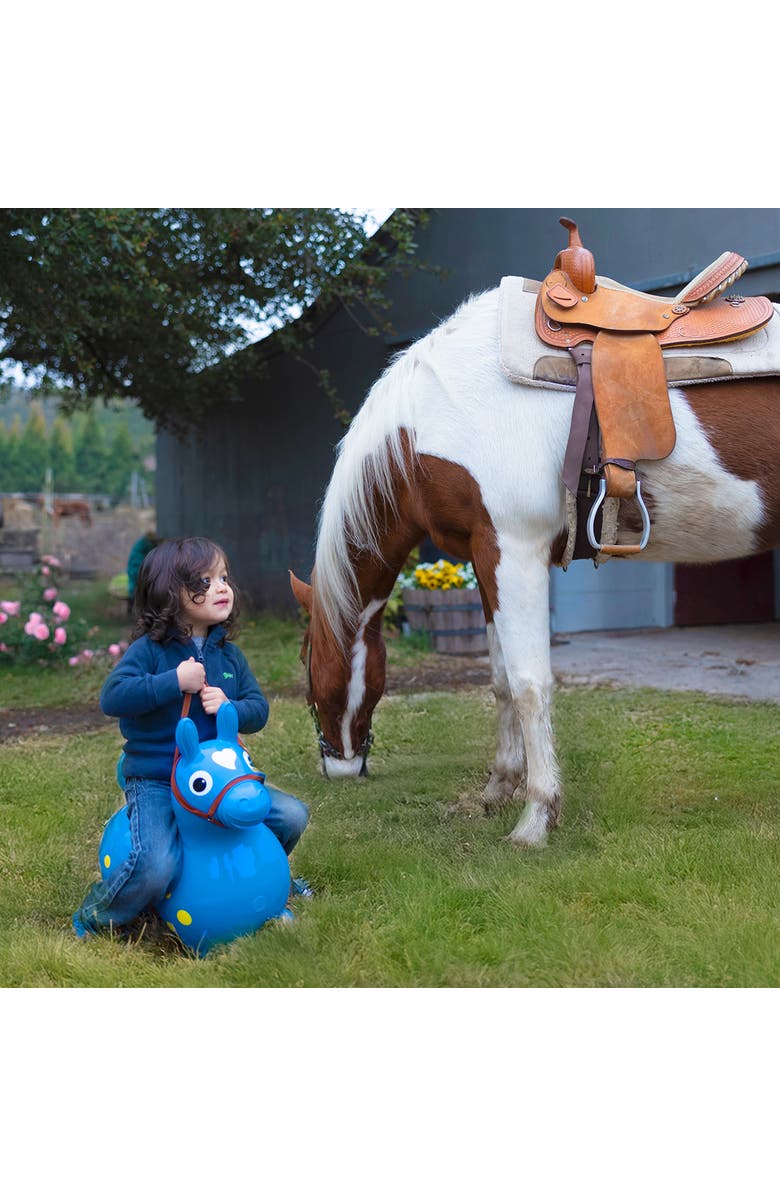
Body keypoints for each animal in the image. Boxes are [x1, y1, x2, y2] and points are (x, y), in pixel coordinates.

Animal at [289, 263, 780, 848]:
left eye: (307, 668)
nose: (337, 768)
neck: (432, 416)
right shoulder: (483, 556)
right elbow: (500, 679)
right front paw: (500, 787)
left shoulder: (514, 550)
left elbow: (529, 685)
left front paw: (536, 816)